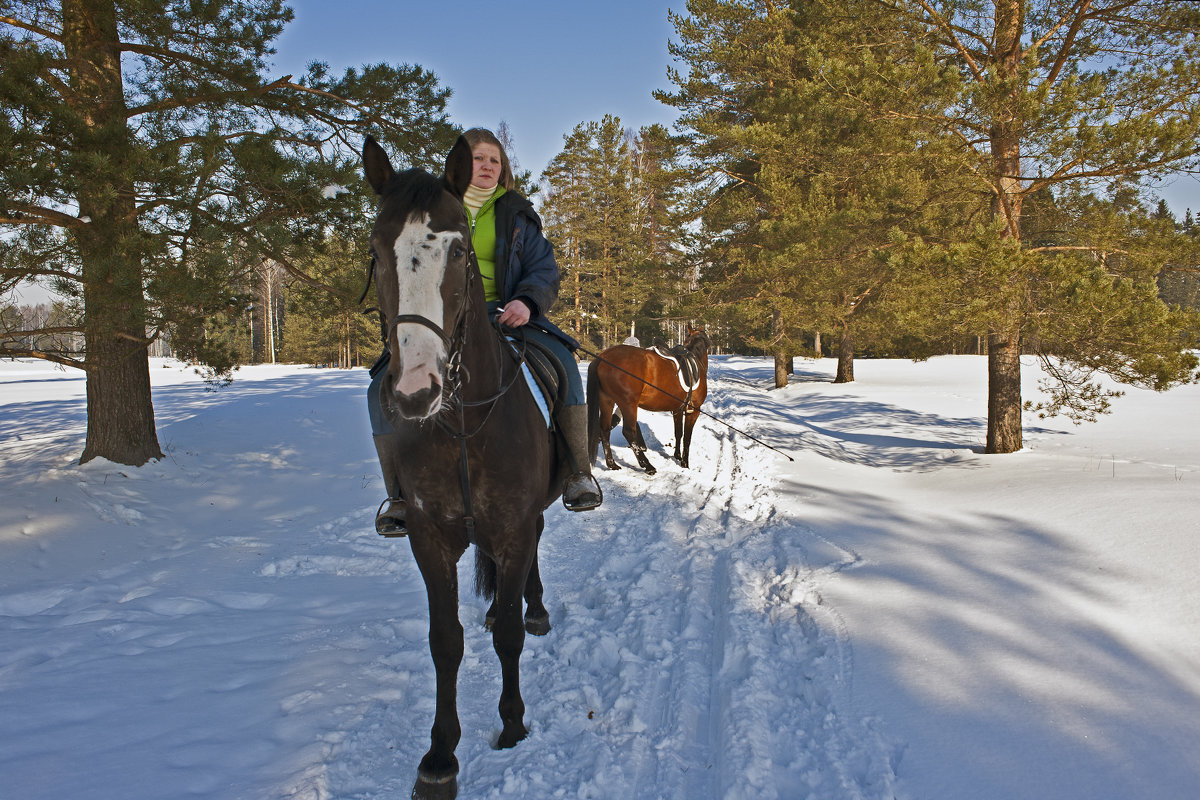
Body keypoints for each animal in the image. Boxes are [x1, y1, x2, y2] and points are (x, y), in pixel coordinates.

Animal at [360, 134, 566, 796]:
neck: (462, 424)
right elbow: (445, 641)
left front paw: (513, 724)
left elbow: (506, 634)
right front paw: (440, 755)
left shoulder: (515, 523)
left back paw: (535, 608)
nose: (414, 391)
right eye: (377, 248)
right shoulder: (428, 537)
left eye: (456, 250)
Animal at [585, 326, 705, 474]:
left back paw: (612, 464)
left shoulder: (677, 410)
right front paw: (685, 463)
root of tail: (602, 357)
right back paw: (647, 465)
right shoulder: (694, 411)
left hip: (607, 400)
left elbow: (679, 433)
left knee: (605, 428)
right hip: (628, 404)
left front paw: (677, 456)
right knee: (629, 432)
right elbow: (687, 437)